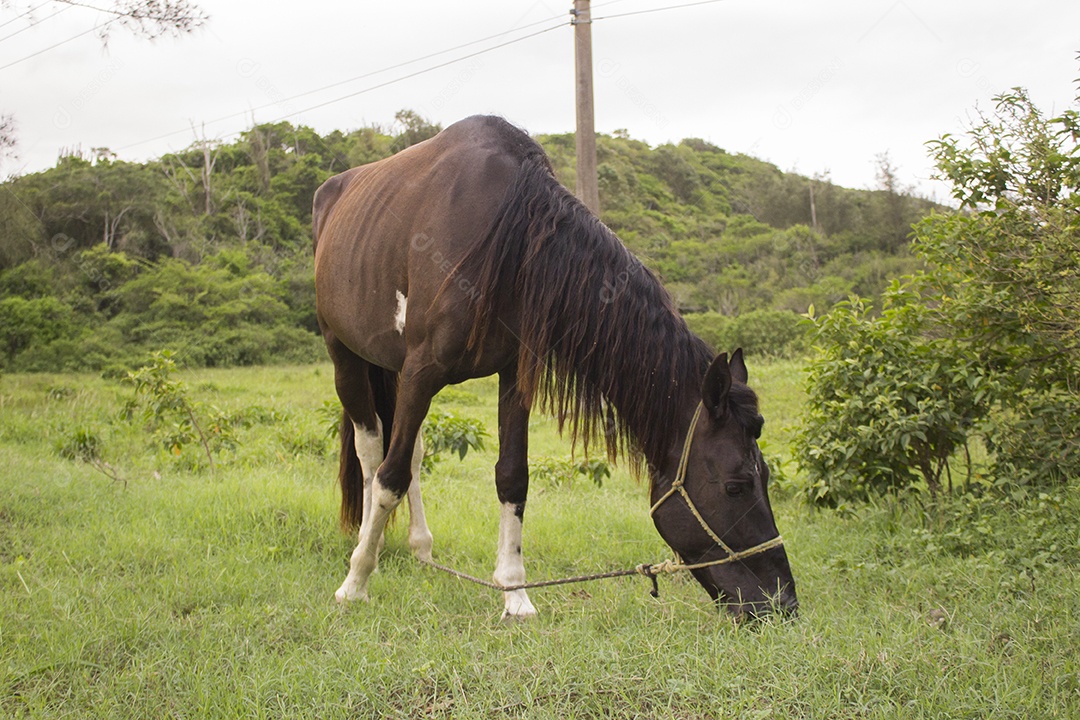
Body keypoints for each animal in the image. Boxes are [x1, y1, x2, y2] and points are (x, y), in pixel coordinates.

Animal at [312, 115, 798, 619]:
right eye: (736, 486)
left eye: (764, 477)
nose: (783, 601)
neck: (507, 233)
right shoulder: (422, 370)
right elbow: (389, 477)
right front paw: (354, 584)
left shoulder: (512, 375)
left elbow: (511, 477)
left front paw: (515, 595)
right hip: (346, 355)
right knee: (373, 452)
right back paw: (367, 549)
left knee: (410, 452)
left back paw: (419, 548)